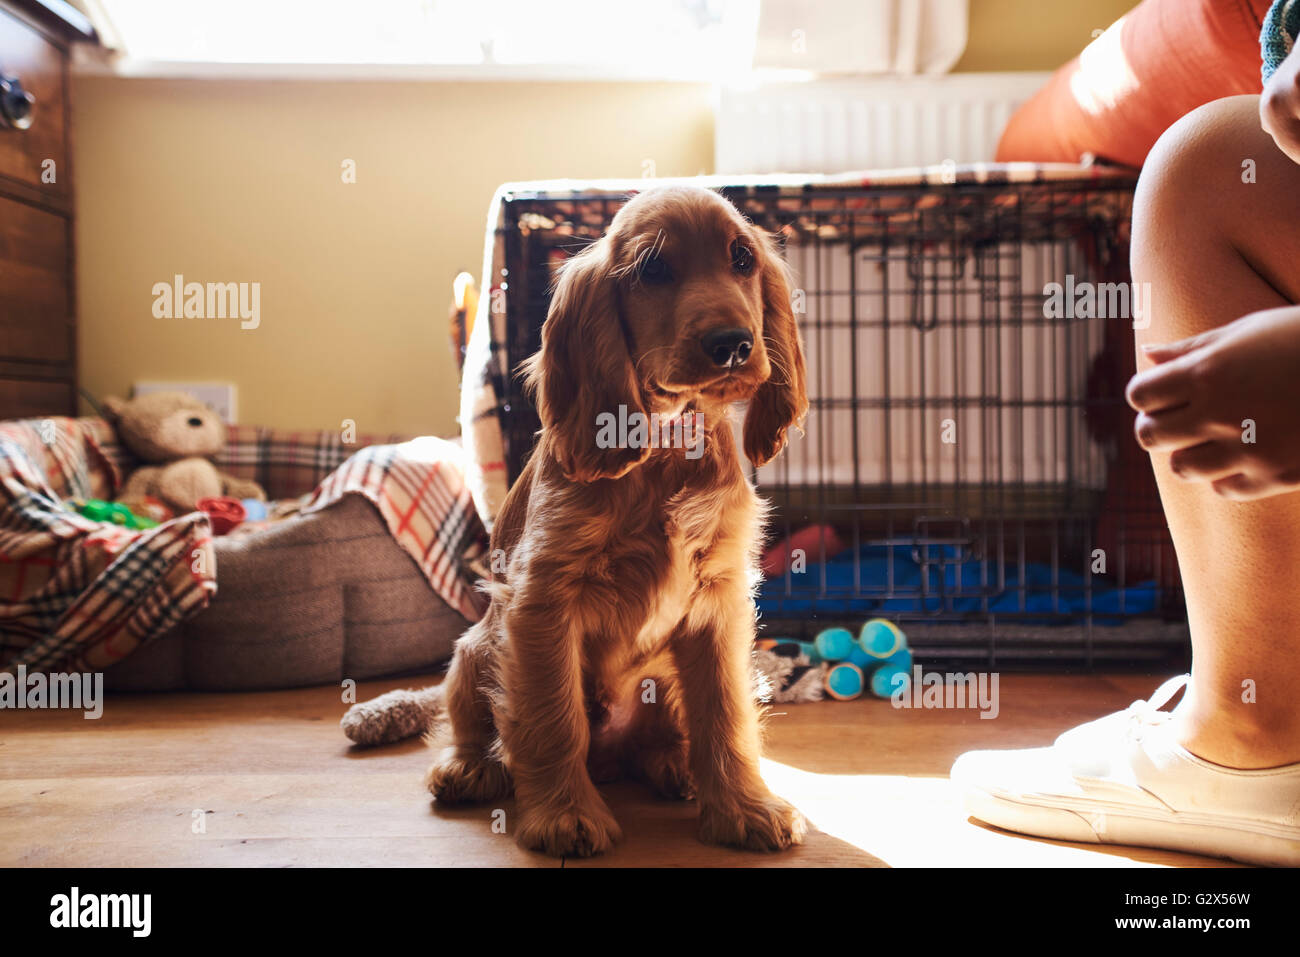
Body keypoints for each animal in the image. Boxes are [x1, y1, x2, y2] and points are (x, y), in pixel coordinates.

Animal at [421, 183, 806, 858]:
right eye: (653, 269)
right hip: (474, 652)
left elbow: (725, 715)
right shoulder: (543, 600)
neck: (666, 447)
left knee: (663, 739)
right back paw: (470, 767)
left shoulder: (719, 602)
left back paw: (676, 768)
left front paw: (744, 809)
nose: (733, 343)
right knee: (475, 725)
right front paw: (565, 817)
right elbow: (554, 719)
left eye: (742, 259)